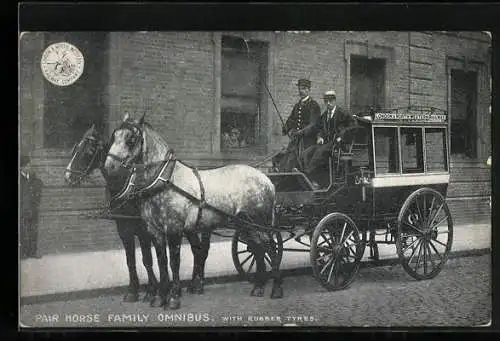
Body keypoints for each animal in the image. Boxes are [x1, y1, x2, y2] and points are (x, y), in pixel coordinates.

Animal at [103, 113, 284, 308]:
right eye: (114, 136)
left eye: (131, 139)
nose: (109, 167)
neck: (165, 180)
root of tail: (266, 179)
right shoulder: (154, 231)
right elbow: (161, 261)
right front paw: (160, 297)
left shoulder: (173, 229)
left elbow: (174, 262)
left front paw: (174, 297)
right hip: (245, 225)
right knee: (258, 250)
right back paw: (258, 287)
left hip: (260, 223)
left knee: (271, 249)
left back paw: (276, 289)